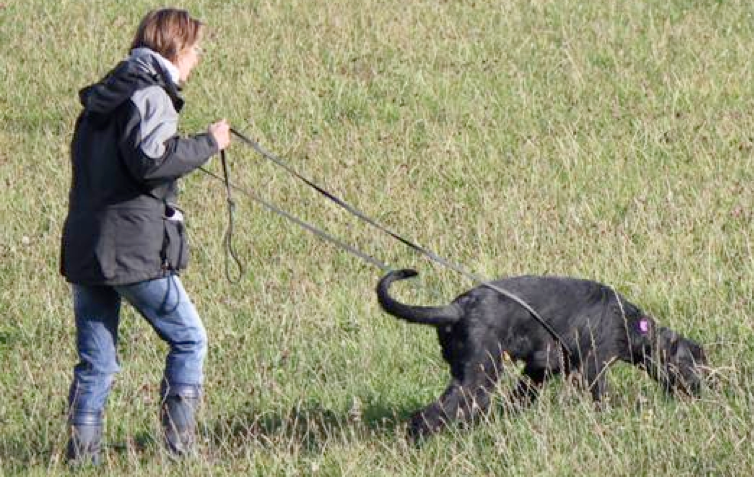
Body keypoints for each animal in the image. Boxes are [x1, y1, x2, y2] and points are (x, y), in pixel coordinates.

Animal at [376, 268, 704, 438]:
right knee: (428, 416)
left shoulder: (537, 370)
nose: (701, 391)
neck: (629, 323)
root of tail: (456, 308)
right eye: (692, 364)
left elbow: (520, 398)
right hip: (481, 375)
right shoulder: (592, 369)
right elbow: (601, 398)